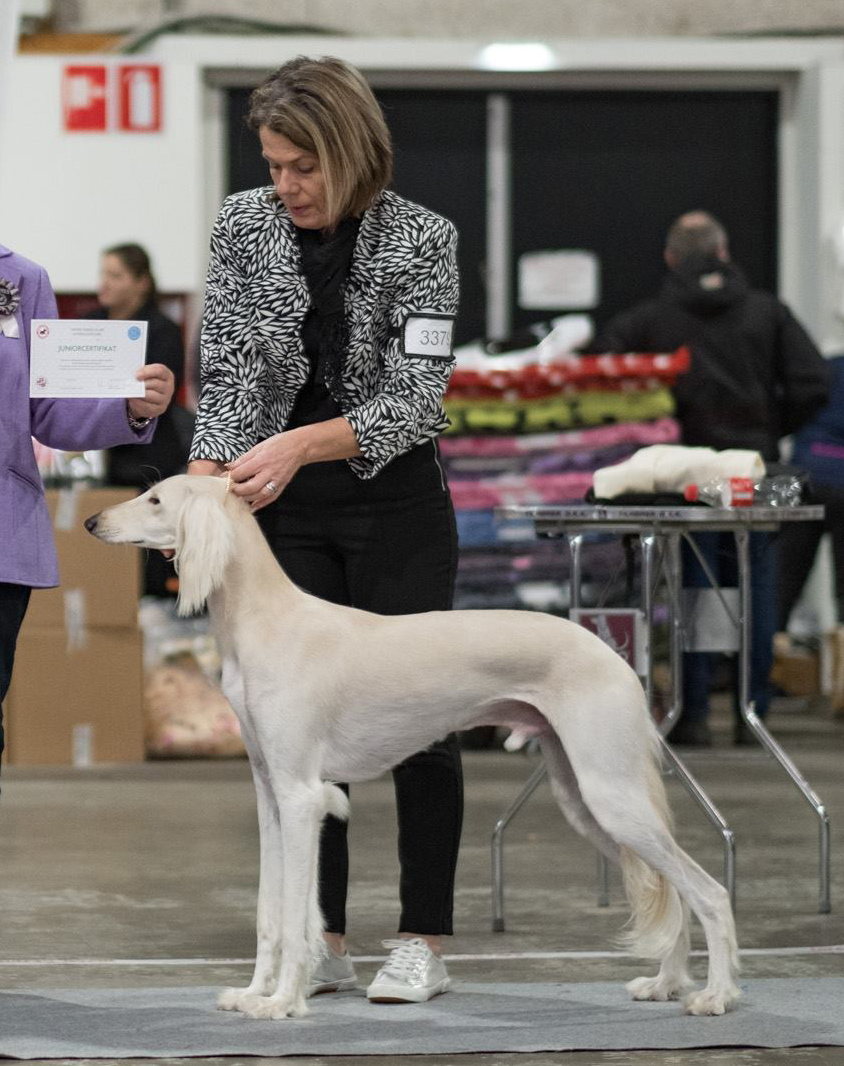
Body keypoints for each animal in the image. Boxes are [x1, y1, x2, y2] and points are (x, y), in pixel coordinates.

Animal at [85, 477, 737, 1023]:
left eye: (154, 499)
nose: (92, 521)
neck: (269, 622)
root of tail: (616, 657)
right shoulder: (271, 796)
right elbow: (271, 915)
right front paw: (252, 994)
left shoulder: (301, 797)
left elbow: (294, 918)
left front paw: (283, 1003)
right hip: (583, 799)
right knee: (671, 887)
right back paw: (667, 983)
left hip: (611, 792)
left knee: (708, 890)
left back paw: (716, 995)